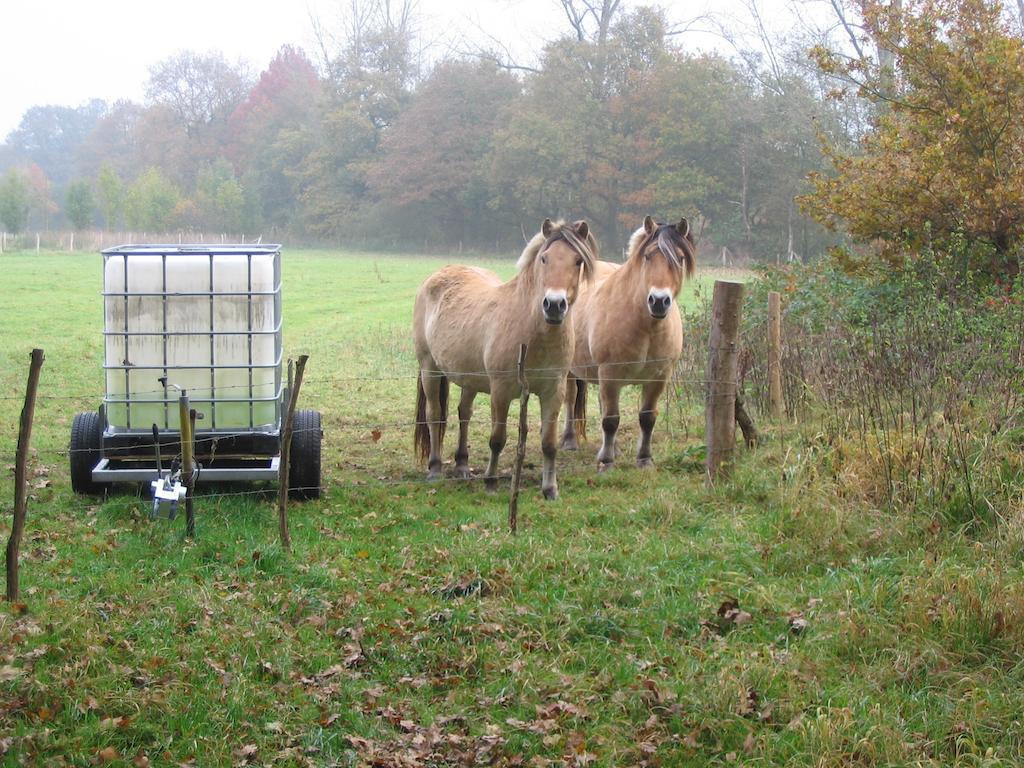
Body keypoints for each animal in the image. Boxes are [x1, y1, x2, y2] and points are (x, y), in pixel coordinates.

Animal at [411, 219, 598, 501]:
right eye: (544, 258)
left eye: (578, 261)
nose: (554, 305)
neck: (531, 331)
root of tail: (435, 276)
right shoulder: (501, 391)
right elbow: (497, 438)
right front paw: (491, 481)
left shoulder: (553, 391)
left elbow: (549, 443)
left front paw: (550, 489)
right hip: (429, 368)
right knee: (435, 415)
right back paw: (434, 469)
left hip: (469, 378)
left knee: (464, 414)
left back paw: (462, 465)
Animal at [561, 214, 696, 473]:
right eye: (648, 256)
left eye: (680, 258)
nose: (659, 301)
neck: (645, 326)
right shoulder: (610, 374)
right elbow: (611, 420)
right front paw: (606, 462)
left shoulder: (658, 377)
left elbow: (647, 418)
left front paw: (644, 459)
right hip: (572, 371)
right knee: (571, 399)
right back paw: (569, 441)